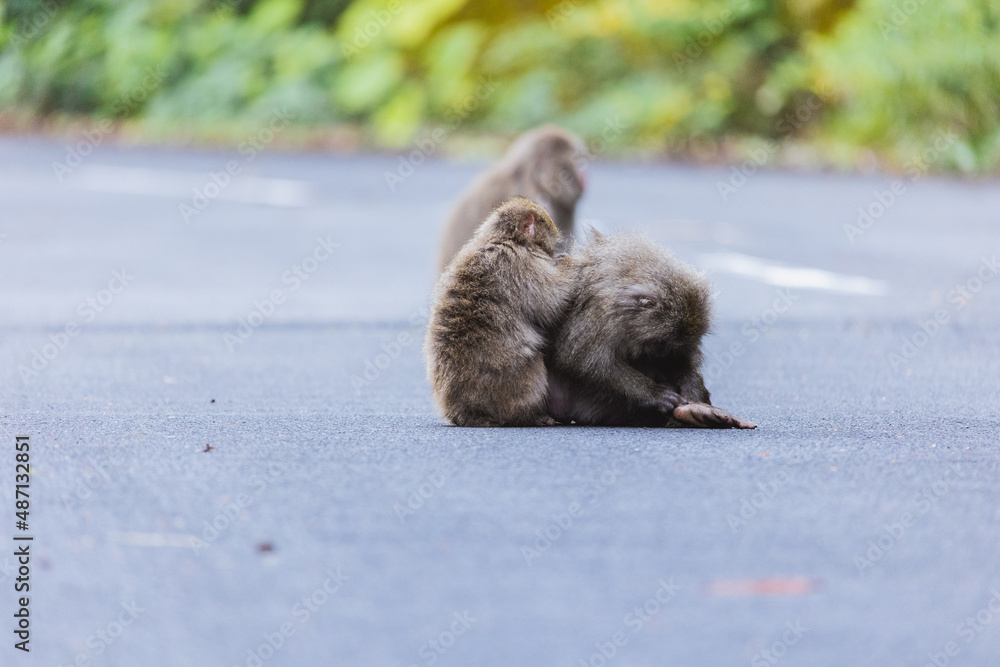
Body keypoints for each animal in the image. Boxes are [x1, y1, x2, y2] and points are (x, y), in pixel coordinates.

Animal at [425, 197, 576, 427]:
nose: (552, 251)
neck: (503, 238)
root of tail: (462, 410)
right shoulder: (519, 263)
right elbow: (552, 301)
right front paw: (568, 261)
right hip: (506, 390)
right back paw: (530, 415)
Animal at [547, 232, 756, 429]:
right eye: (659, 343)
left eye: (672, 348)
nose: (663, 356)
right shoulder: (599, 315)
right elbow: (581, 360)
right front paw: (655, 394)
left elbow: (683, 362)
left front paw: (695, 397)